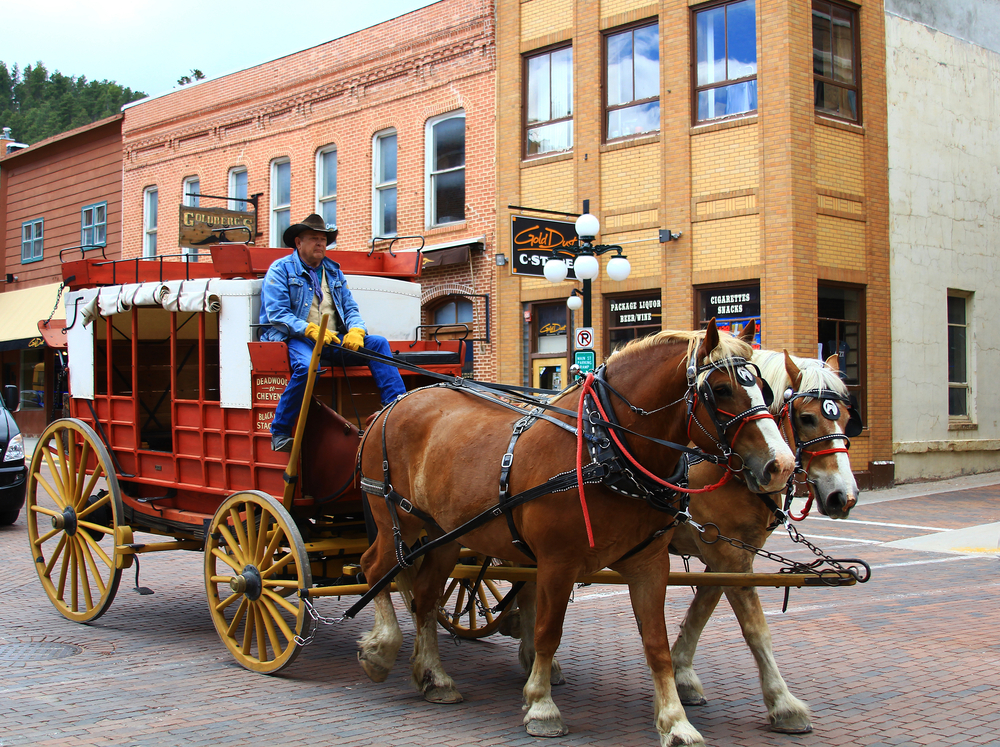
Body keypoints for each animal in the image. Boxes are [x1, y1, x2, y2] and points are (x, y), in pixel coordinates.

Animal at [356, 322, 792, 747]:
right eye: (720, 389)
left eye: (765, 389)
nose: (782, 466)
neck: (606, 451)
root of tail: (390, 406)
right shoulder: (557, 562)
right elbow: (548, 633)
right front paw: (542, 706)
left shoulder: (650, 563)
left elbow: (657, 645)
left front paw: (676, 722)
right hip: (398, 520)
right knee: (374, 568)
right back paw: (382, 649)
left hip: (445, 535)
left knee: (426, 597)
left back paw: (435, 678)